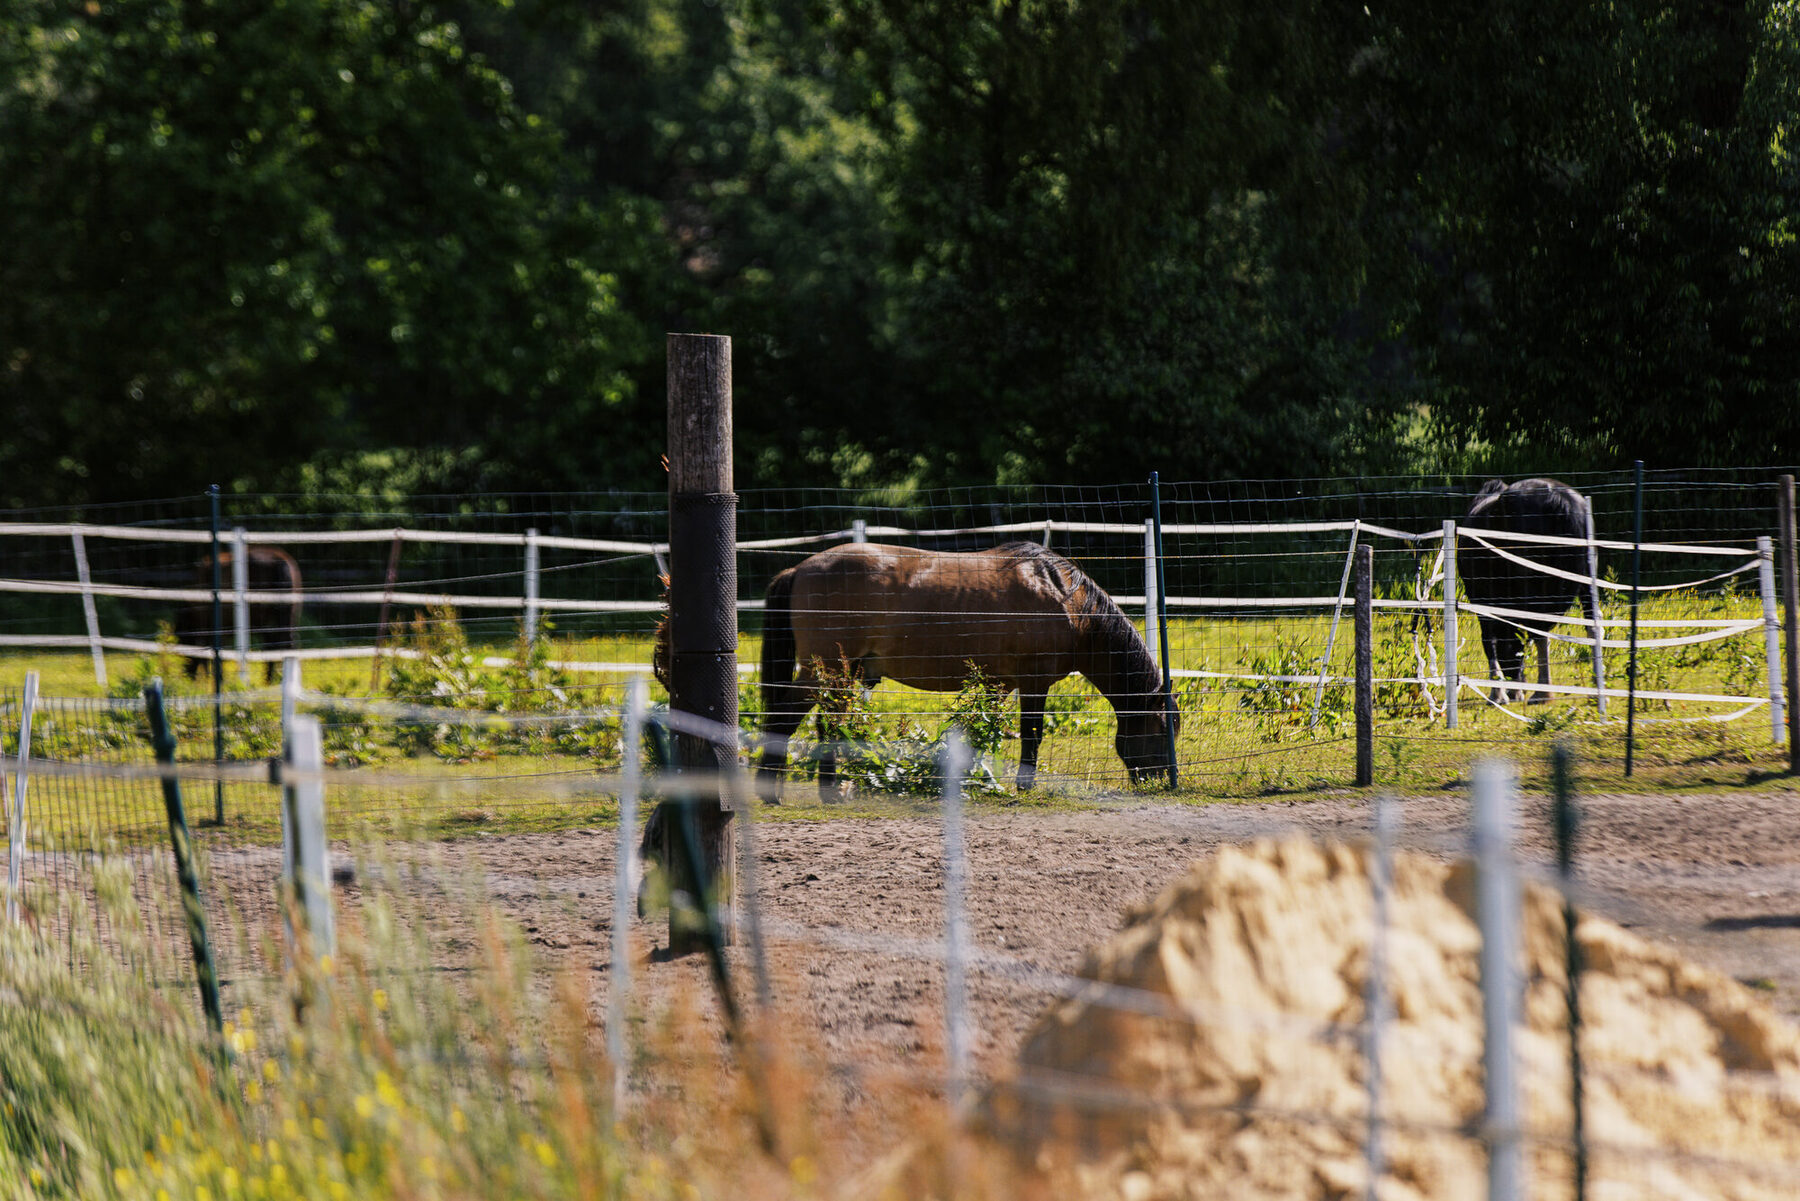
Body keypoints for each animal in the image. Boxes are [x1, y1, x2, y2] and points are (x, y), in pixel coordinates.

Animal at [175, 545, 304, 684]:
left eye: (184, 638)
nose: (187, 676)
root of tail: (281, 561)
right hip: (286, 617)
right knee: (285, 643)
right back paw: (273, 680)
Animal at [753, 541, 1178, 799]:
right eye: (1162, 730)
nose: (1157, 782)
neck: (1067, 602)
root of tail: (799, 569)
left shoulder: (997, 685)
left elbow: (980, 734)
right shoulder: (1034, 683)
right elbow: (1031, 736)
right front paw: (1023, 787)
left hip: (838, 676)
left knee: (827, 724)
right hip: (823, 671)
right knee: (787, 720)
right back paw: (778, 792)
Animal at [1458, 478, 1599, 704]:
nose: (1515, 686)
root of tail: (1559, 498)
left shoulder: (1481, 601)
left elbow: (1489, 641)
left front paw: (1498, 694)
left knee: (1538, 631)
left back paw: (1542, 693)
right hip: (1586, 582)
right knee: (1592, 626)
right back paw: (1596, 685)